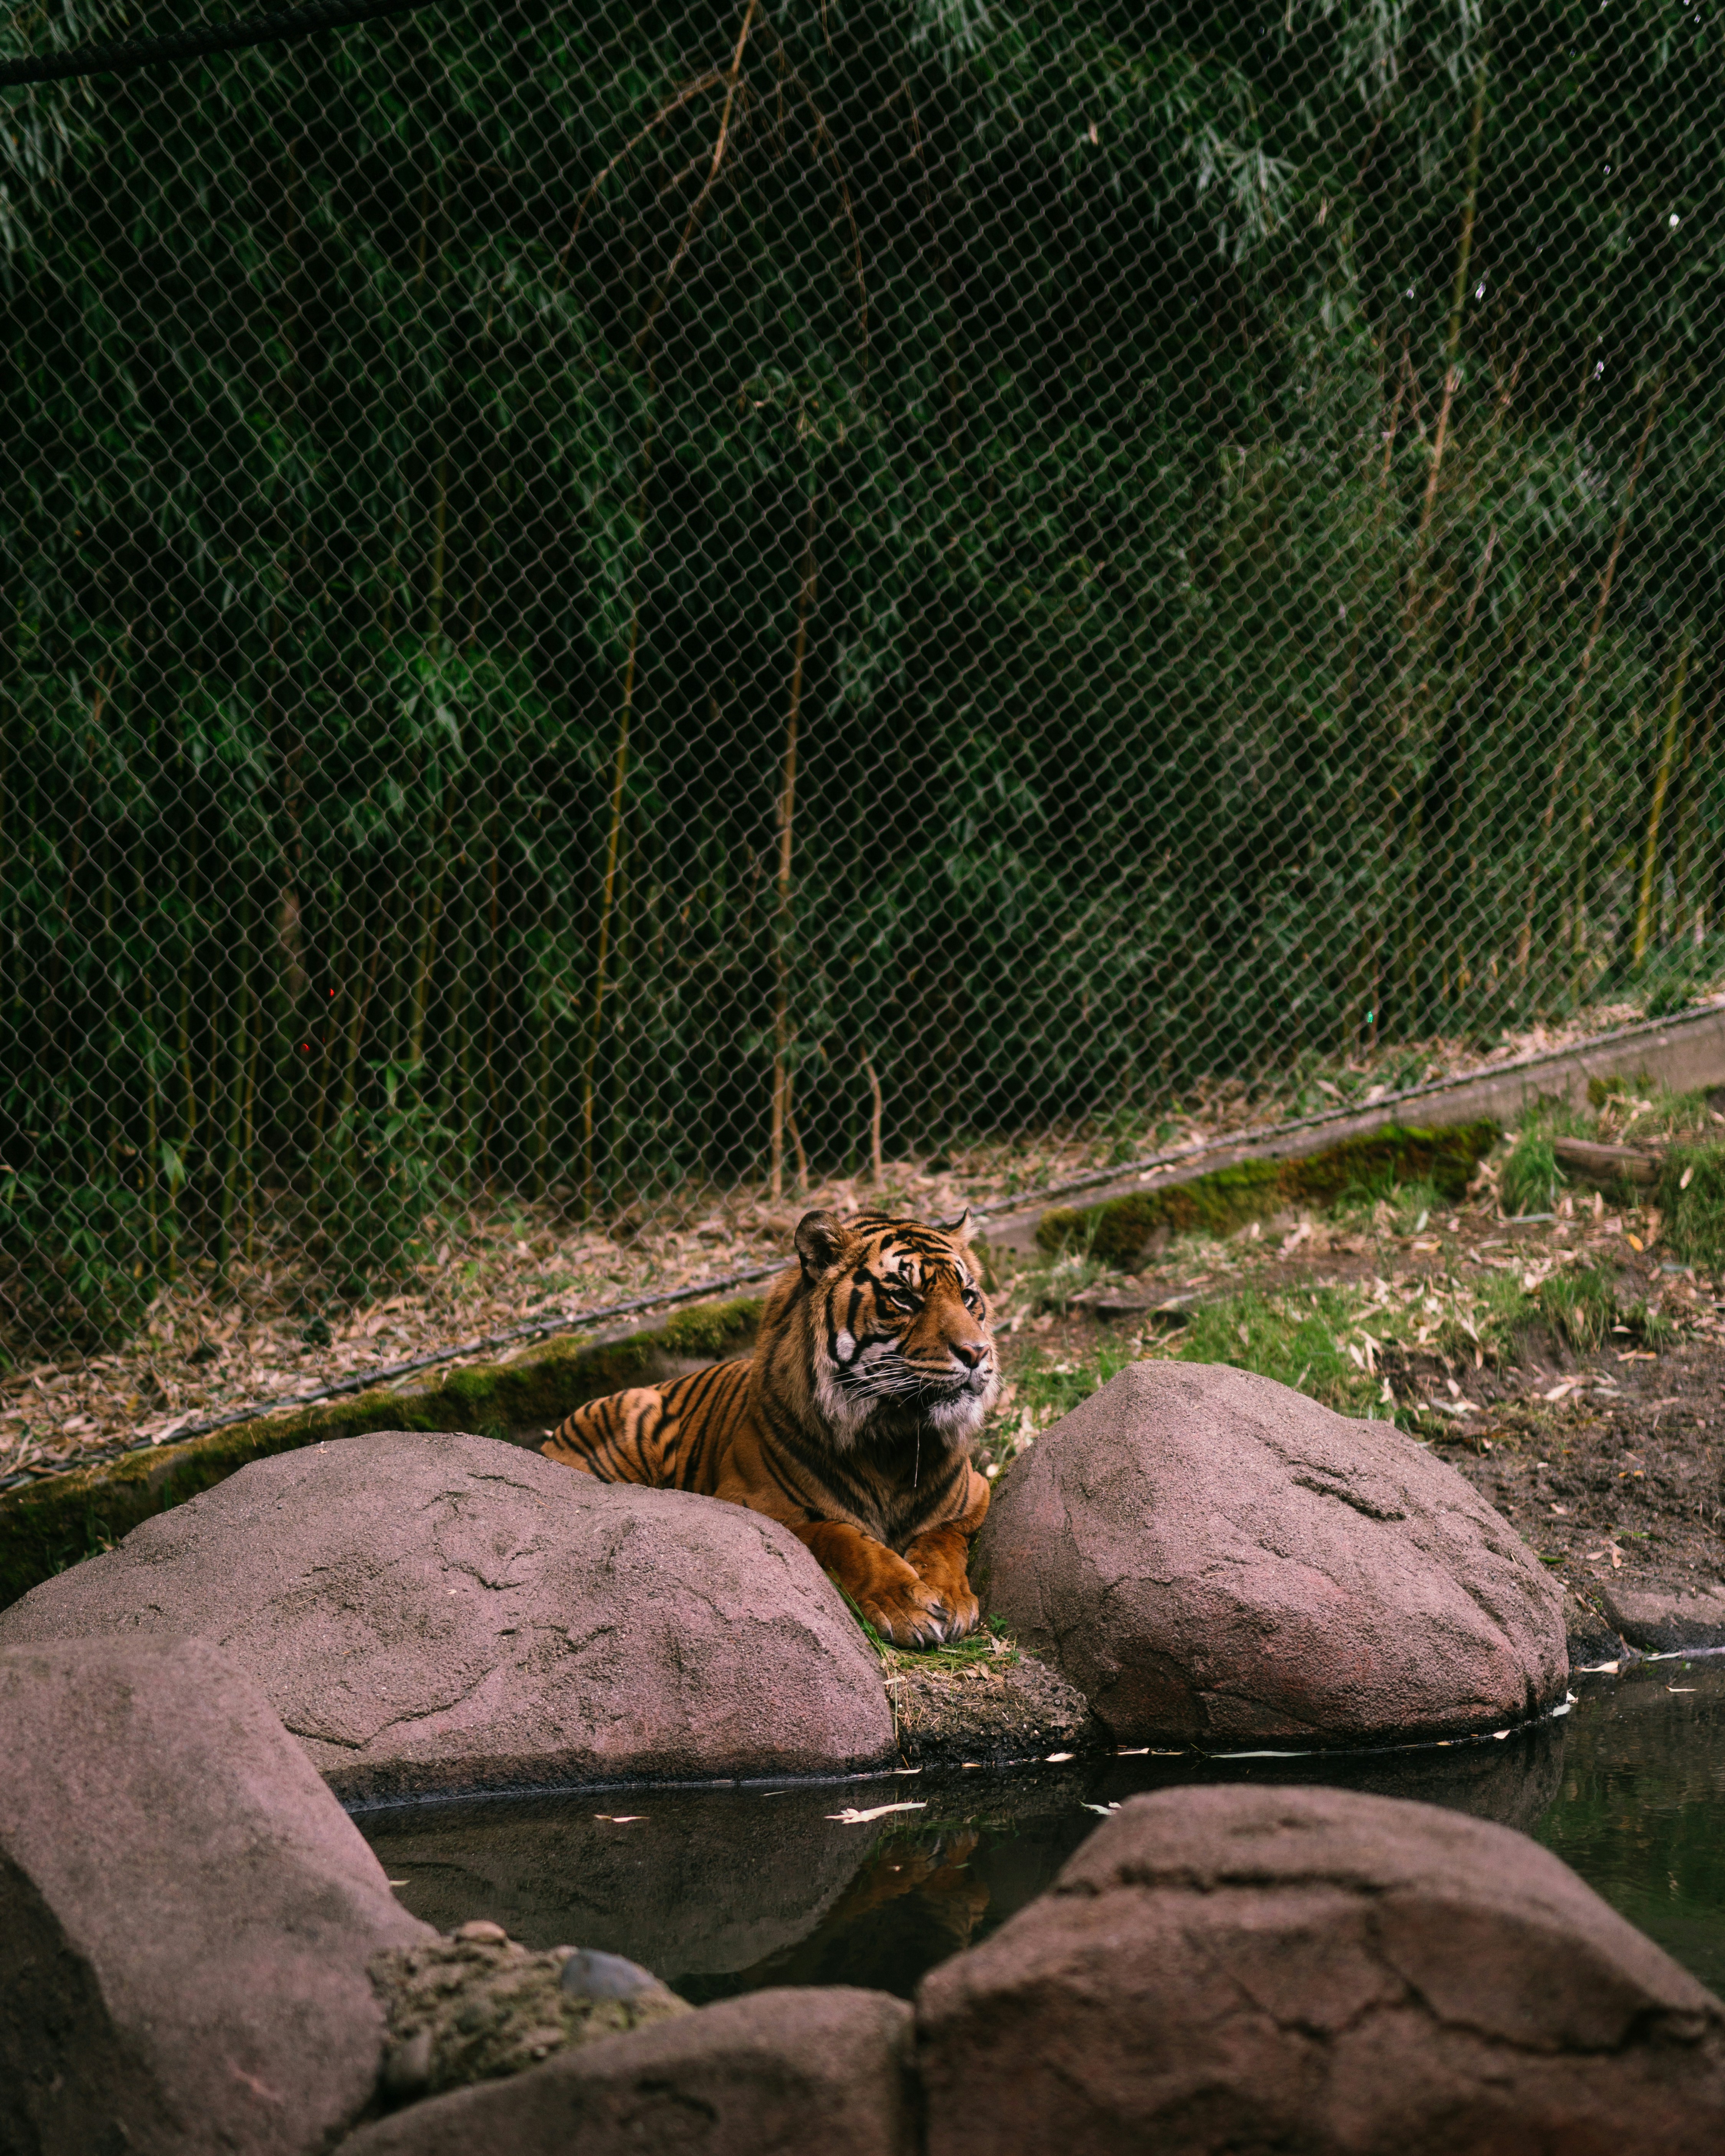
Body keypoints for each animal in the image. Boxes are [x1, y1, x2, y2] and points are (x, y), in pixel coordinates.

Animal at [541, 1207, 999, 1647]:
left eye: (968, 1296)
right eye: (904, 1296)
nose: (977, 1353)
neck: (893, 1440)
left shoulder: (974, 1498)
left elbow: (942, 1542)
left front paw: (952, 1599)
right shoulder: (753, 1507)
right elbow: (842, 1537)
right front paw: (906, 1605)